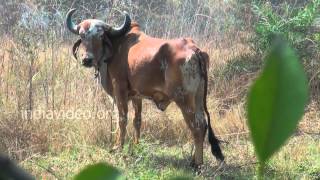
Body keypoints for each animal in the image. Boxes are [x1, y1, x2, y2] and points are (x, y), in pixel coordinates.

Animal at [66, 8, 224, 166]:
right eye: (82, 35)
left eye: (100, 35)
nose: (87, 59)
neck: (116, 45)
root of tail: (194, 49)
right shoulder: (137, 95)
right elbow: (137, 120)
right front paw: (136, 145)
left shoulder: (119, 89)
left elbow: (122, 119)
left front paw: (118, 147)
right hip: (198, 98)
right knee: (203, 124)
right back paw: (195, 160)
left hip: (184, 100)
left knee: (197, 127)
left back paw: (197, 163)